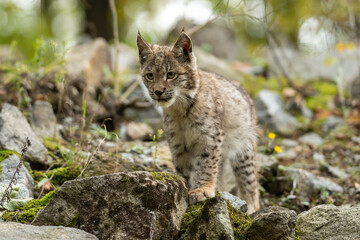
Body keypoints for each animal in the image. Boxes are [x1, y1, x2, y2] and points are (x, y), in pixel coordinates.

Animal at [137, 31, 258, 213]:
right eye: (150, 76)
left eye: (171, 74)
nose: (158, 92)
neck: (181, 109)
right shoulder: (178, 143)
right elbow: (184, 168)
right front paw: (185, 189)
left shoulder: (210, 137)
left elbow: (206, 164)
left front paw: (202, 189)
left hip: (243, 148)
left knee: (250, 183)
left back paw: (250, 207)